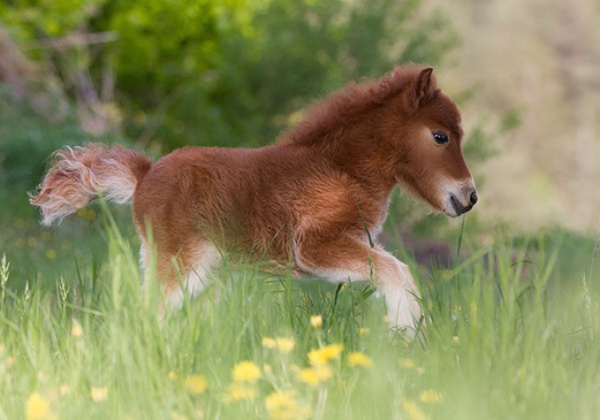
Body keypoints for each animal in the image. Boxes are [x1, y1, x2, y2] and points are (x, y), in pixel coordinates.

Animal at [30, 66, 478, 334]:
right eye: (440, 136)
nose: (469, 197)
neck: (340, 168)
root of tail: (144, 175)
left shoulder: (352, 241)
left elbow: (398, 270)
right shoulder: (313, 248)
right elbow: (395, 270)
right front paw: (407, 336)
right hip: (181, 263)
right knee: (148, 311)